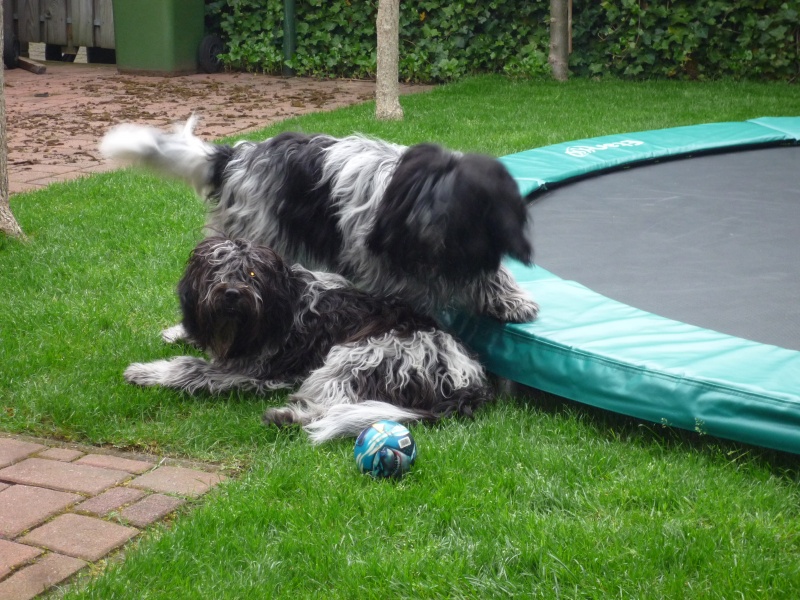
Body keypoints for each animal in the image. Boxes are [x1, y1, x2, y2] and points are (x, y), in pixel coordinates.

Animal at [100, 119, 539, 323]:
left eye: (467, 209)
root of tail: (237, 156)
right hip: (257, 235)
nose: (429, 236)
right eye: (424, 205)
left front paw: (511, 300)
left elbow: (490, 276)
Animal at [123, 237, 493, 443]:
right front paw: (178, 332)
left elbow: (192, 368)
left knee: (334, 404)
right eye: (216, 272)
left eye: (251, 275)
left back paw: (289, 417)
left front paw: (148, 371)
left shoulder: (253, 370)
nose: (231, 294)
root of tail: (469, 378)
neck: (281, 302)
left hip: (358, 356)